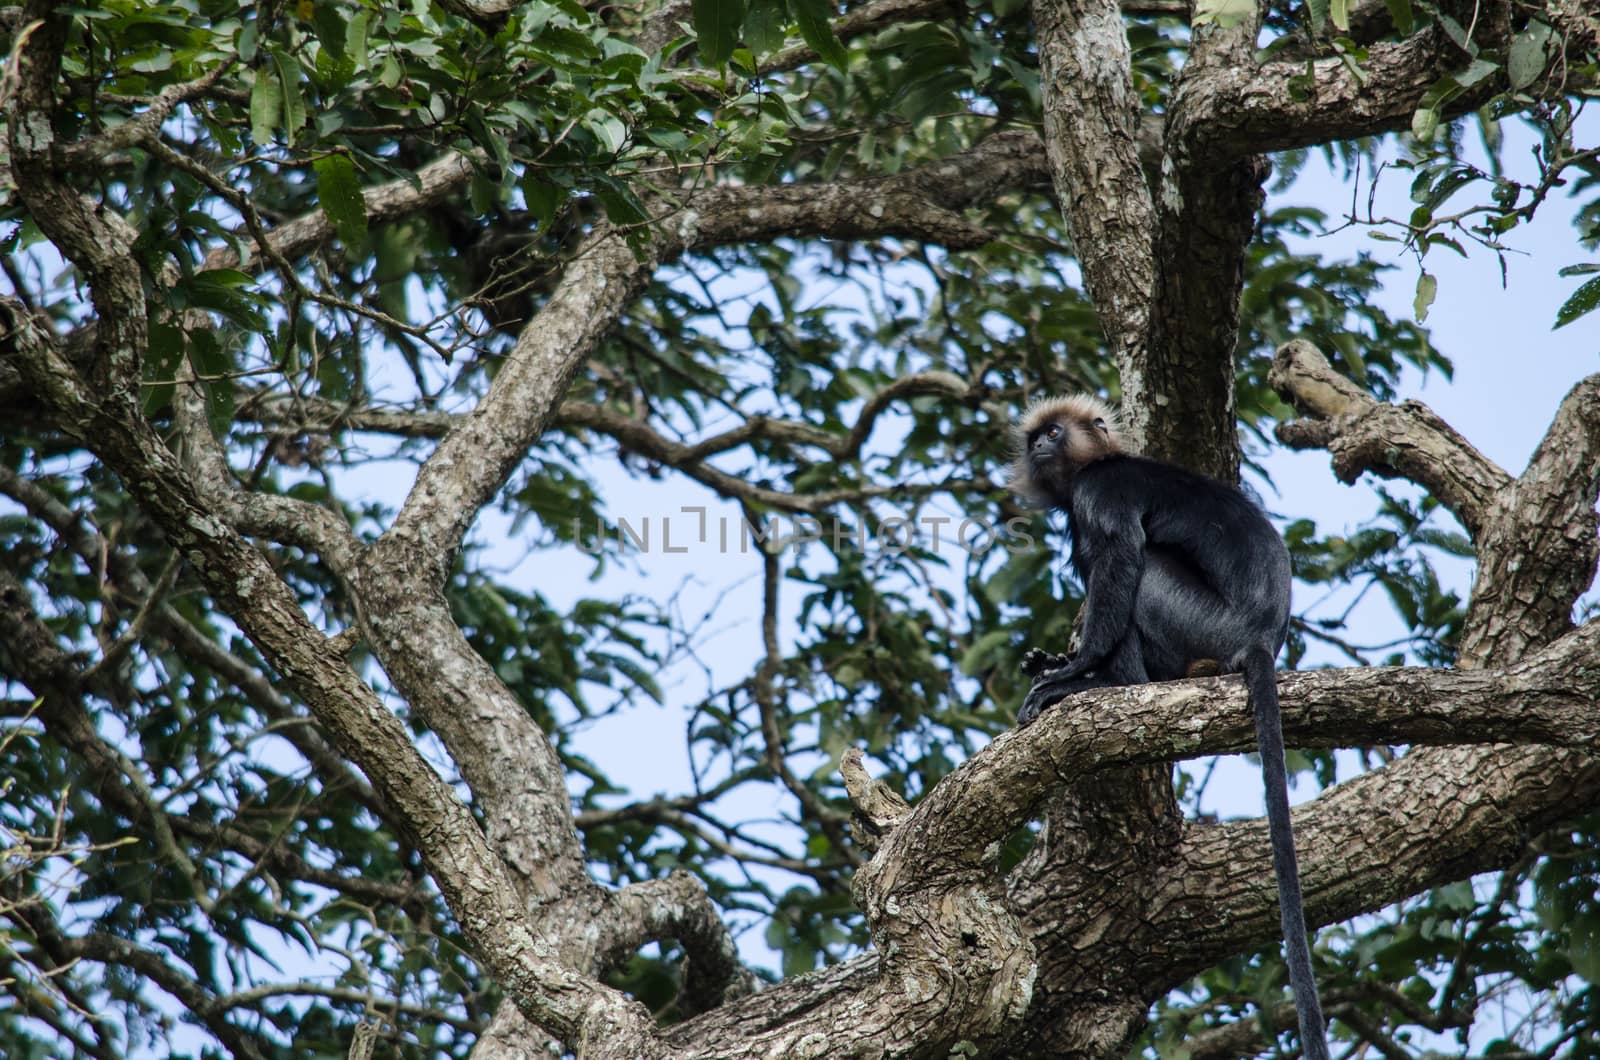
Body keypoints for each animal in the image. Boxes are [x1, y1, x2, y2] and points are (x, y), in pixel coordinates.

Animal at [1011, 397, 1337, 1060]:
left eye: (1054, 432)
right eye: (1036, 439)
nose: (1041, 447)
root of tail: (1260, 639)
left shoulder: (1101, 492)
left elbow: (1117, 559)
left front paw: (1074, 670)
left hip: (1199, 623)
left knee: (1135, 565)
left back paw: (1109, 685)